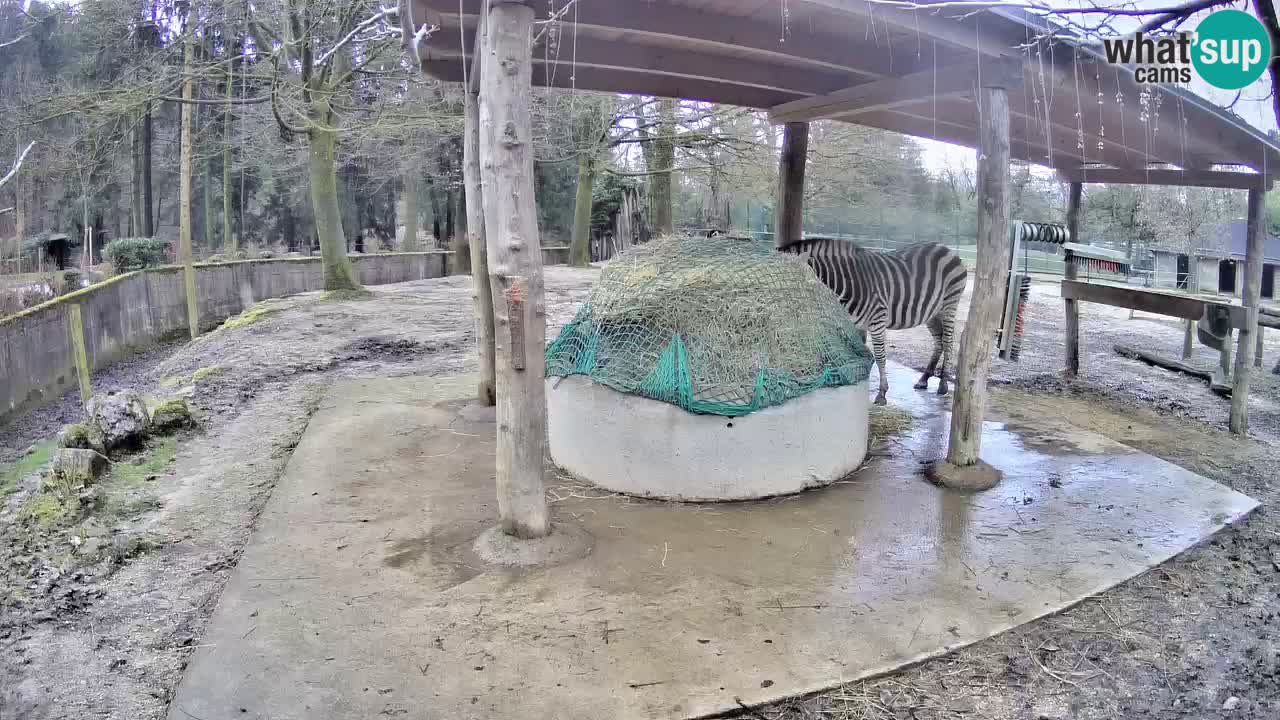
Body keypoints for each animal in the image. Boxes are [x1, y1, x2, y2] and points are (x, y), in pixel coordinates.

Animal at [773, 235, 962, 404]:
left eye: (787, 286)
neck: (845, 283)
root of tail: (944, 247)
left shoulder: (878, 318)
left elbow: (879, 355)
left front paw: (882, 393)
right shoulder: (855, 323)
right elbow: (860, 351)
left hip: (949, 306)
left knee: (948, 342)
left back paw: (943, 385)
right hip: (932, 313)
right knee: (939, 342)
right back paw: (924, 379)